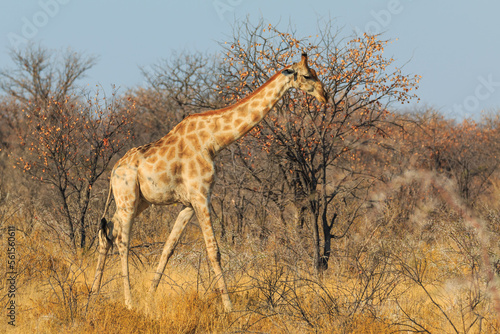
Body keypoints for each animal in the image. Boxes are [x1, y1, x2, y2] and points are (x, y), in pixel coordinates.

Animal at [92, 52, 328, 310]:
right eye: (307, 75)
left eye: (316, 73)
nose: (325, 96)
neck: (213, 140)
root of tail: (114, 170)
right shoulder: (201, 196)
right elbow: (214, 251)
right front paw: (229, 307)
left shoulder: (188, 203)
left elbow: (168, 248)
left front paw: (150, 298)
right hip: (127, 199)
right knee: (122, 241)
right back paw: (128, 302)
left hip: (138, 201)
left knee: (107, 232)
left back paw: (93, 293)